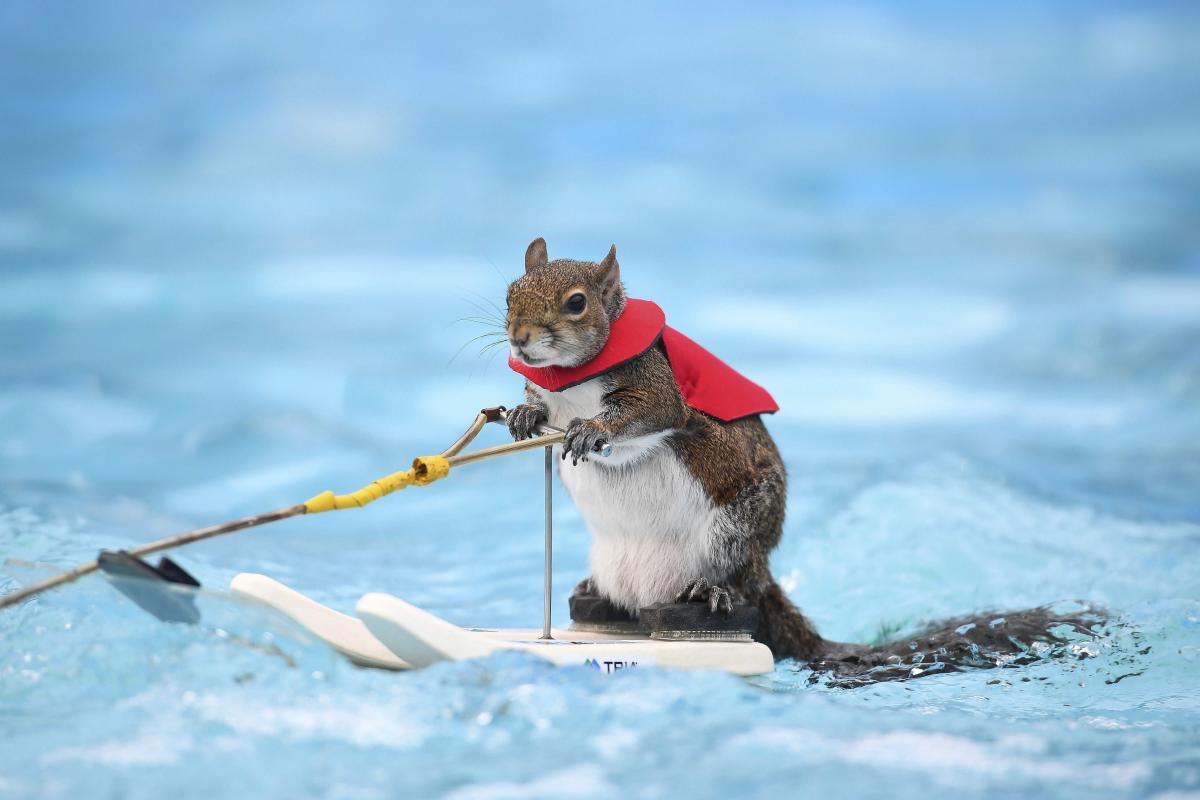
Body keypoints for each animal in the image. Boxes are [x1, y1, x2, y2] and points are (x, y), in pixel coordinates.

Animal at [502, 237, 1102, 675]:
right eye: (510, 293)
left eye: (577, 303)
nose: (519, 338)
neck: (572, 381)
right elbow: (538, 408)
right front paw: (525, 415)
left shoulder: (657, 388)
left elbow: (646, 418)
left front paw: (590, 431)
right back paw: (594, 594)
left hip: (734, 533)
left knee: (737, 582)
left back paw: (712, 591)